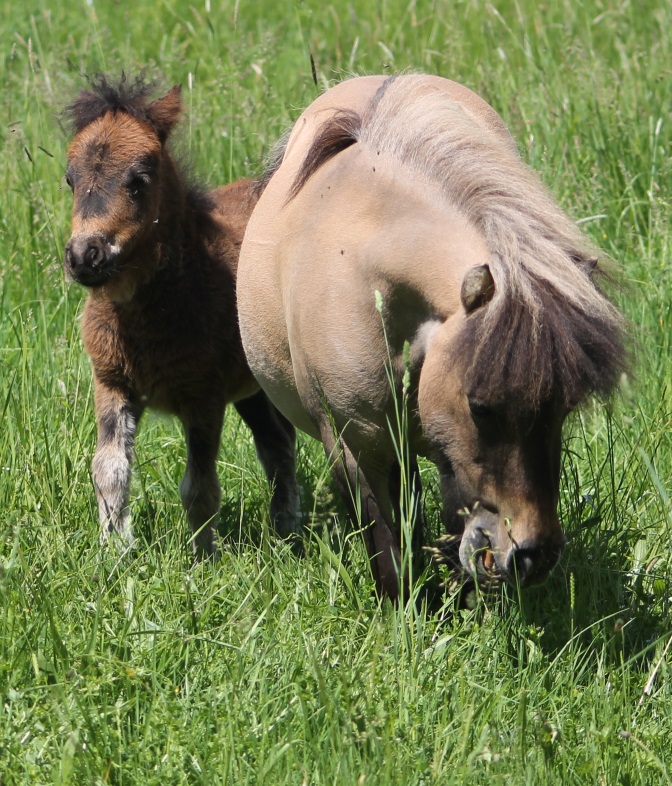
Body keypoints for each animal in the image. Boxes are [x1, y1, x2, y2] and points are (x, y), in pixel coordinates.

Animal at [62, 74, 300, 556]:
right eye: (70, 179)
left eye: (139, 179)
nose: (84, 256)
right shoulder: (111, 383)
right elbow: (109, 469)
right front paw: (114, 552)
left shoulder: (203, 395)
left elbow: (199, 486)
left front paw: (204, 558)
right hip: (253, 388)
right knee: (276, 443)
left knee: (283, 445)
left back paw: (289, 528)